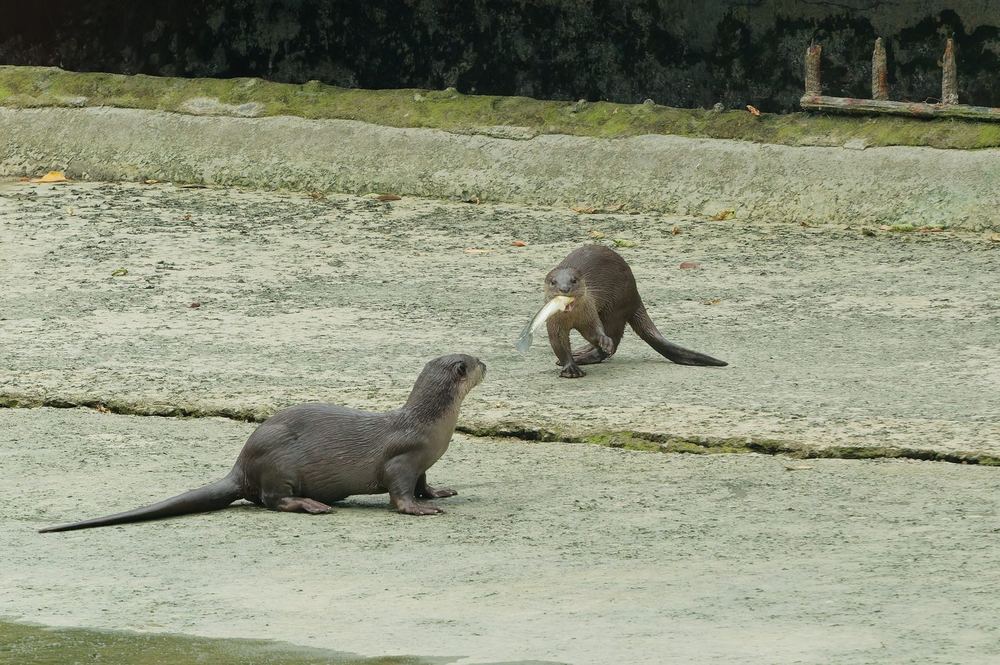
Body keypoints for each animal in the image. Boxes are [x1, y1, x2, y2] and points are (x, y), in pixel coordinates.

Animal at [39, 354, 486, 532]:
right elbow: (400, 492)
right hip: (279, 464)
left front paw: (439, 493)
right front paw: (420, 510)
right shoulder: (402, 458)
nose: (487, 361)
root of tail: (242, 464)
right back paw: (313, 505)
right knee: (272, 500)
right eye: (473, 361)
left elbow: (425, 483)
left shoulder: (422, 463)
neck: (430, 427)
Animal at [543, 245, 726, 378]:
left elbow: (596, 332)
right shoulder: (554, 324)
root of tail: (635, 294)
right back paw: (580, 351)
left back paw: (586, 356)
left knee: (613, 340)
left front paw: (601, 344)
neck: (572, 318)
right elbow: (559, 344)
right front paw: (570, 367)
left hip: (616, 307)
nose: (564, 288)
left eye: (574, 280)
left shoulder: (591, 315)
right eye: (553, 282)